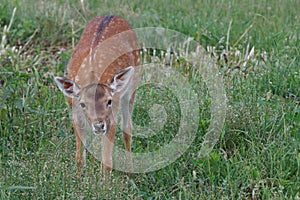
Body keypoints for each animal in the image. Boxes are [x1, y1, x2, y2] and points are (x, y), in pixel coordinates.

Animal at [54, 15, 140, 173]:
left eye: (109, 101)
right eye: (82, 104)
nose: (99, 125)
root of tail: (112, 15)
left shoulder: (112, 116)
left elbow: (107, 162)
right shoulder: (75, 114)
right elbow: (79, 159)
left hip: (133, 85)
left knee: (127, 128)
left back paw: (131, 171)